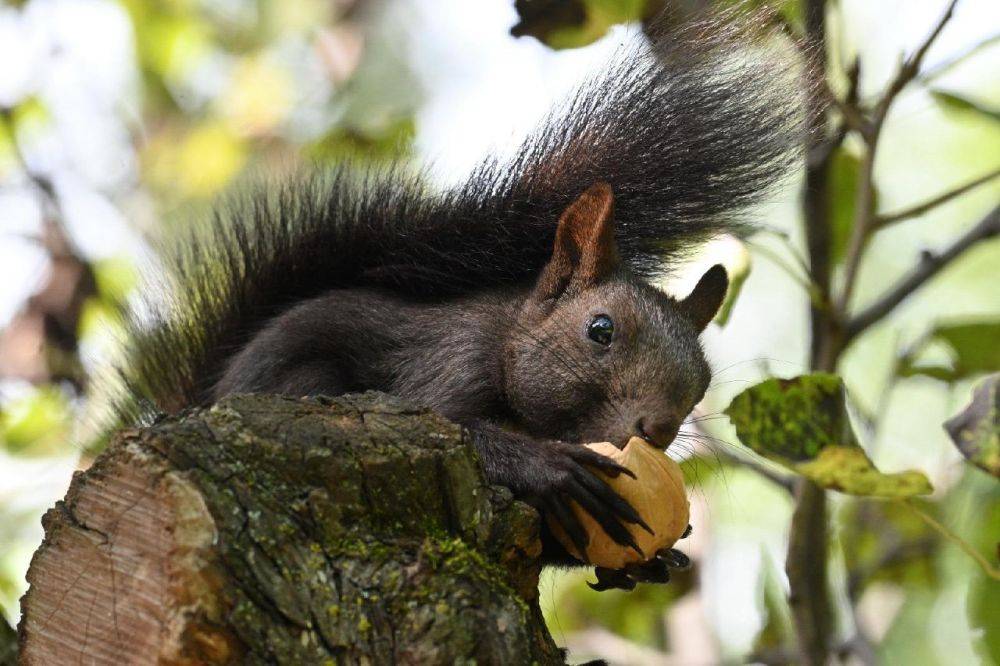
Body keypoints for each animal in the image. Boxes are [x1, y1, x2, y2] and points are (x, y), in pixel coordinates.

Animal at [107, 13, 804, 588]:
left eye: (703, 381)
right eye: (600, 330)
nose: (658, 429)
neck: (508, 341)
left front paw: (650, 559)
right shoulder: (450, 360)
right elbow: (446, 421)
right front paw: (547, 465)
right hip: (301, 386)